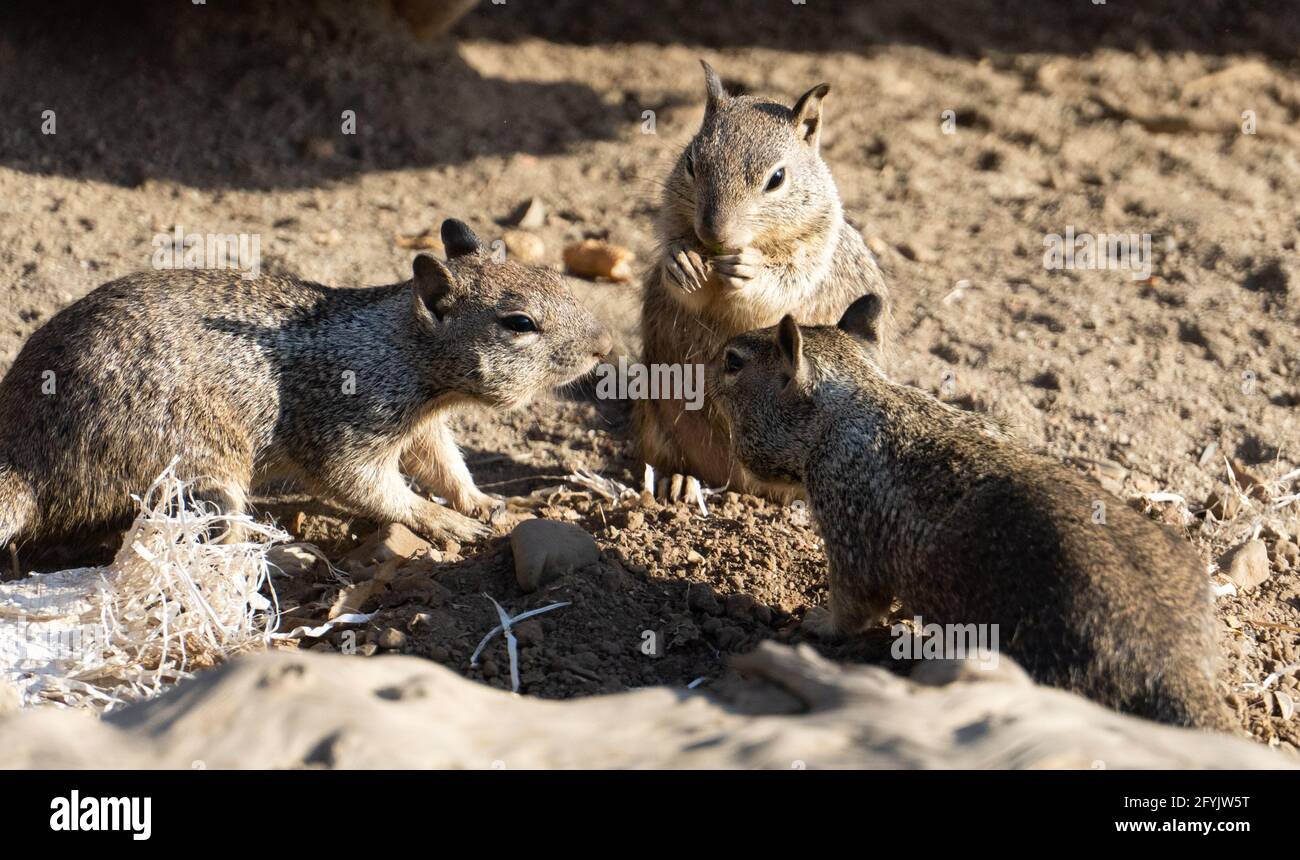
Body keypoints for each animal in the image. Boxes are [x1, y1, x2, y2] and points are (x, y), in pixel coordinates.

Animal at [0, 219, 613, 548]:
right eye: (519, 323)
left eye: (555, 276)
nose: (605, 346)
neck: (403, 349)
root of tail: (24, 460)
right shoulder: (346, 430)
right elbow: (368, 487)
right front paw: (442, 520)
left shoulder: (423, 429)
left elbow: (446, 466)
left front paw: (481, 502)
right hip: (201, 466)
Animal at [639, 60, 894, 501]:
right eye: (691, 163)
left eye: (776, 179)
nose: (713, 232)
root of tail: (742, 485)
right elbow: (677, 269)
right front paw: (682, 262)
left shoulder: (810, 257)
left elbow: (779, 285)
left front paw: (748, 270)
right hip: (653, 421)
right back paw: (681, 481)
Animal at [717, 300, 1232, 732]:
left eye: (733, 362)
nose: (707, 367)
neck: (857, 400)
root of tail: (1176, 667)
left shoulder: (845, 520)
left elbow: (856, 604)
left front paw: (819, 623)